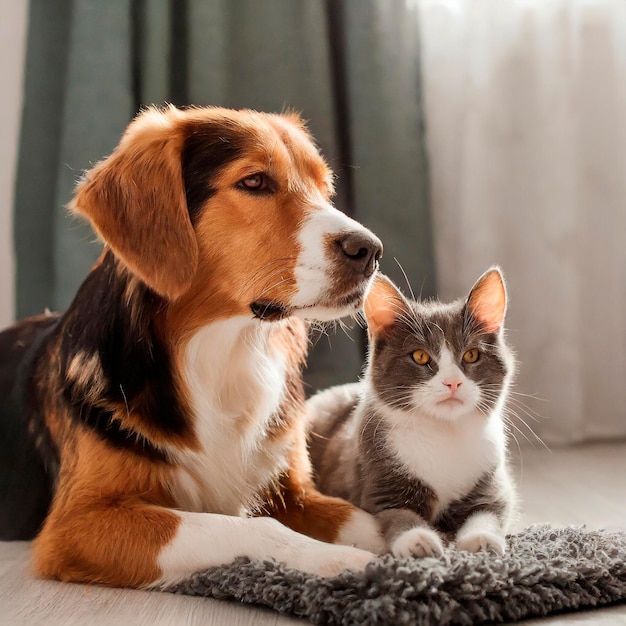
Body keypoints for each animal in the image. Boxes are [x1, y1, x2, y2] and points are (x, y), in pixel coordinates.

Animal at [0, 105, 382, 588]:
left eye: (323, 188)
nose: (370, 251)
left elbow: (362, 517)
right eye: (254, 182)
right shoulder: (78, 522)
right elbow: (248, 527)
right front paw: (340, 561)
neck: (225, 349)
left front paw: (420, 538)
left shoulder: (292, 490)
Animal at [308, 268, 516, 556]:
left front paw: (481, 539)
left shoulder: (492, 478)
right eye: (420, 356)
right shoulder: (378, 478)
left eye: (472, 355)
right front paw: (418, 540)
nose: (453, 382)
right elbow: (397, 512)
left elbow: (489, 509)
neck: (444, 432)